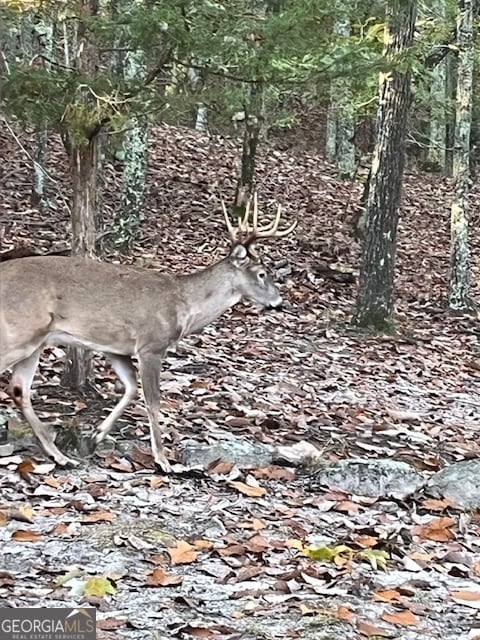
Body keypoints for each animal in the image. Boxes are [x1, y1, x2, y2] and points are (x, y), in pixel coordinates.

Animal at [0, 198, 294, 472]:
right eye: (262, 274)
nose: (279, 302)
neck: (184, 306)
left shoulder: (115, 346)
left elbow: (131, 388)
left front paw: (96, 436)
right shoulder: (152, 344)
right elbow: (153, 400)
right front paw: (162, 460)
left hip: (36, 341)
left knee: (19, 388)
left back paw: (60, 456)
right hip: (19, 331)